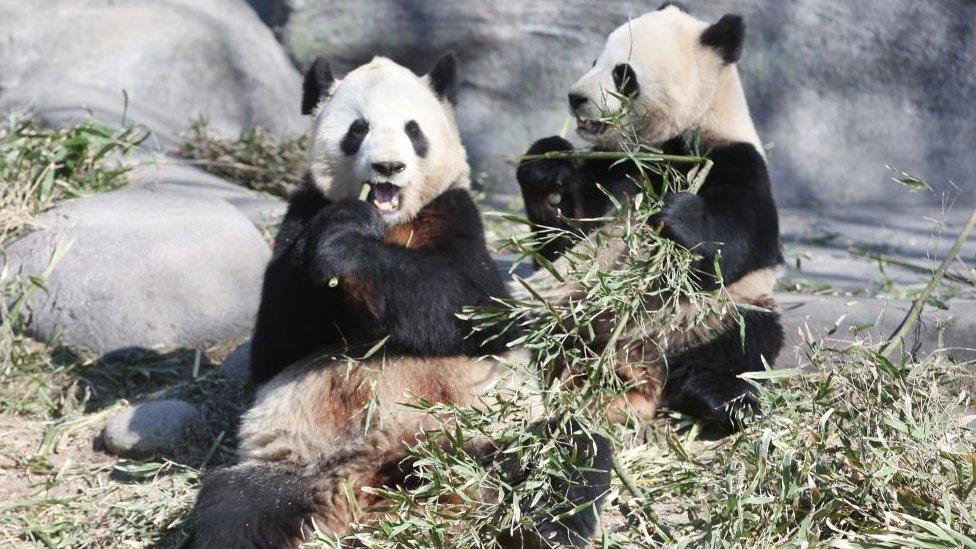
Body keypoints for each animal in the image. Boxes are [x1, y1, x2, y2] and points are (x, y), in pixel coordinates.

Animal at [184, 53, 608, 544]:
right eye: (357, 129)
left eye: (413, 130)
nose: (388, 167)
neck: (390, 224)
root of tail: (389, 475)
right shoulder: (303, 214)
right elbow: (276, 343)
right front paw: (343, 230)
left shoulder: (455, 214)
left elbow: (474, 306)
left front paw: (348, 247)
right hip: (299, 464)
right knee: (234, 509)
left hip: (496, 432)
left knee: (568, 456)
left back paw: (540, 530)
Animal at [520, 3, 784, 432]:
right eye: (594, 61)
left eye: (622, 74)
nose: (575, 98)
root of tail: (639, 370)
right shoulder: (613, 168)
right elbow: (565, 243)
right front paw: (549, 169)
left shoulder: (734, 159)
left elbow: (741, 242)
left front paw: (678, 215)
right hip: (569, 315)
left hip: (717, 316)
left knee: (742, 345)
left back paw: (717, 402)